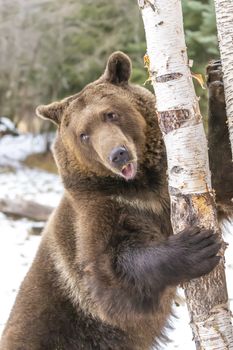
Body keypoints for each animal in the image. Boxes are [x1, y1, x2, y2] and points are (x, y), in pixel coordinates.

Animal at [0, 52, 232, 350]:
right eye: (83, 134)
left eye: (111, 114)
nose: (118, 154)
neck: (144, 188)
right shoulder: (98, 212)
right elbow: (109, 274)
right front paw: (197, 245)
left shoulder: (170, 191)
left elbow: (222, 181)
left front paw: (216, 79)